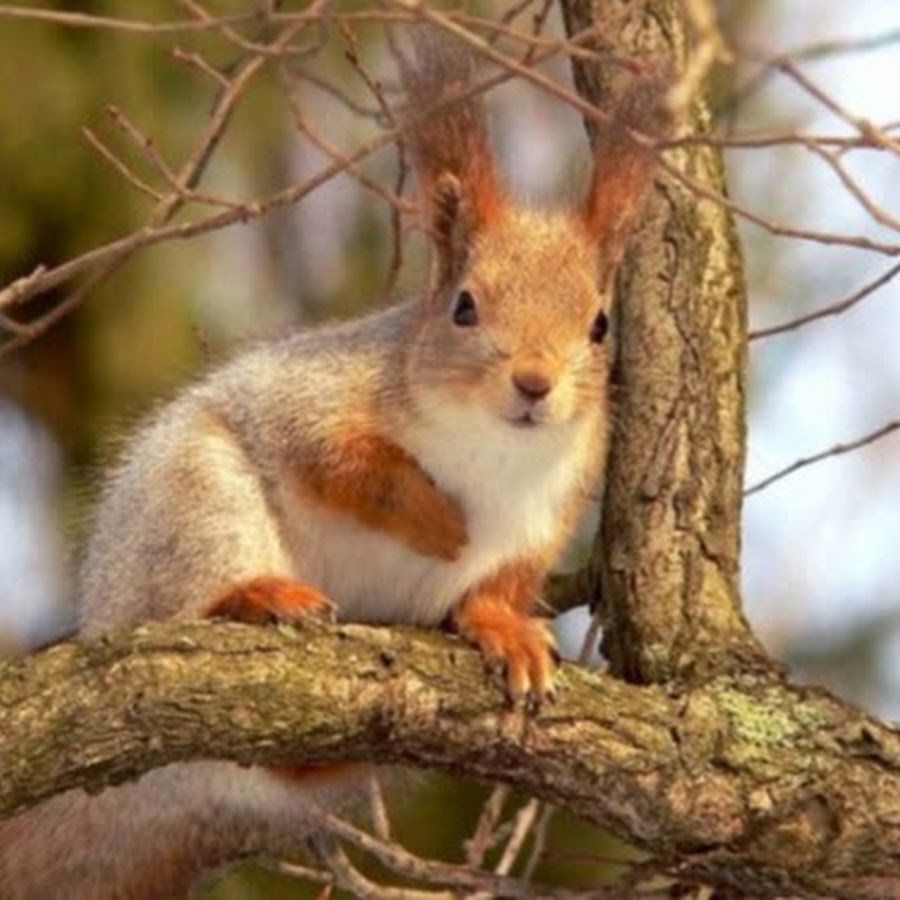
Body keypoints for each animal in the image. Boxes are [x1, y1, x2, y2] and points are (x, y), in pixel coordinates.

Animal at [0, 28, 660, 900]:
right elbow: (339, 462)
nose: (533, 384)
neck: (494, 449)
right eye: (464, 306)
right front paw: (437, 523)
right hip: (193, 508)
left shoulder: (547, 515)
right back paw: (257, 597)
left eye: (599, 324)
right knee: (186, 600)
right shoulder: (313, 402)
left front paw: (505, 631)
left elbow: (497, 584)